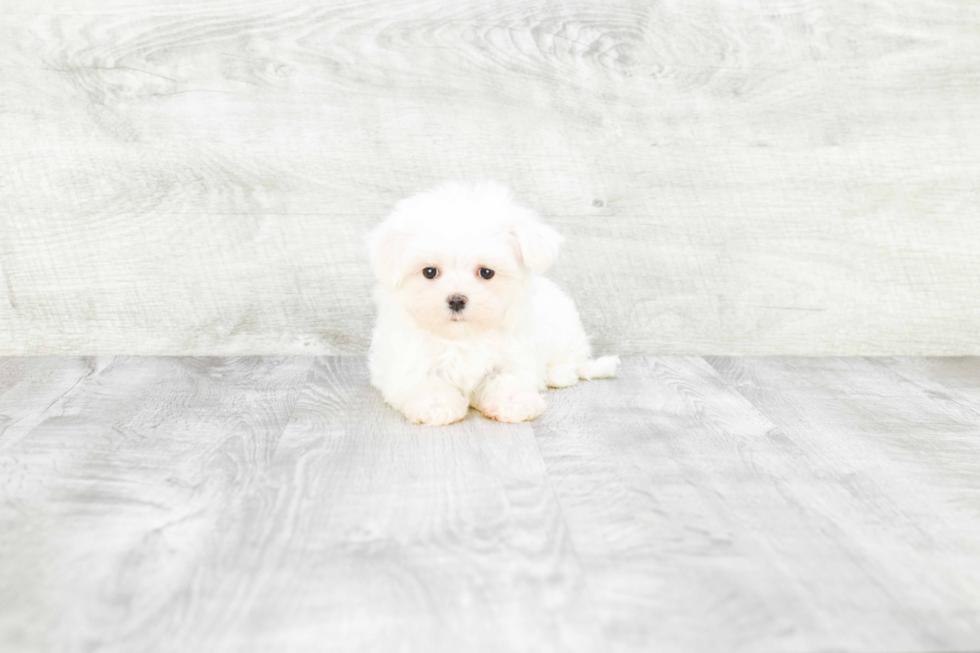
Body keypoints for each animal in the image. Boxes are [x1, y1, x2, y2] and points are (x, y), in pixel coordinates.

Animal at [364, 181, 616, 426]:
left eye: (486, 272)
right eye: (429, 272)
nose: (457, 300)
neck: (463, 337)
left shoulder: (513, 355)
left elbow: (507, 379)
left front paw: (515, 402)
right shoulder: (408, 360)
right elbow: (425, 382)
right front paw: (437, 405)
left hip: (564, 325)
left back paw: (559, 373)